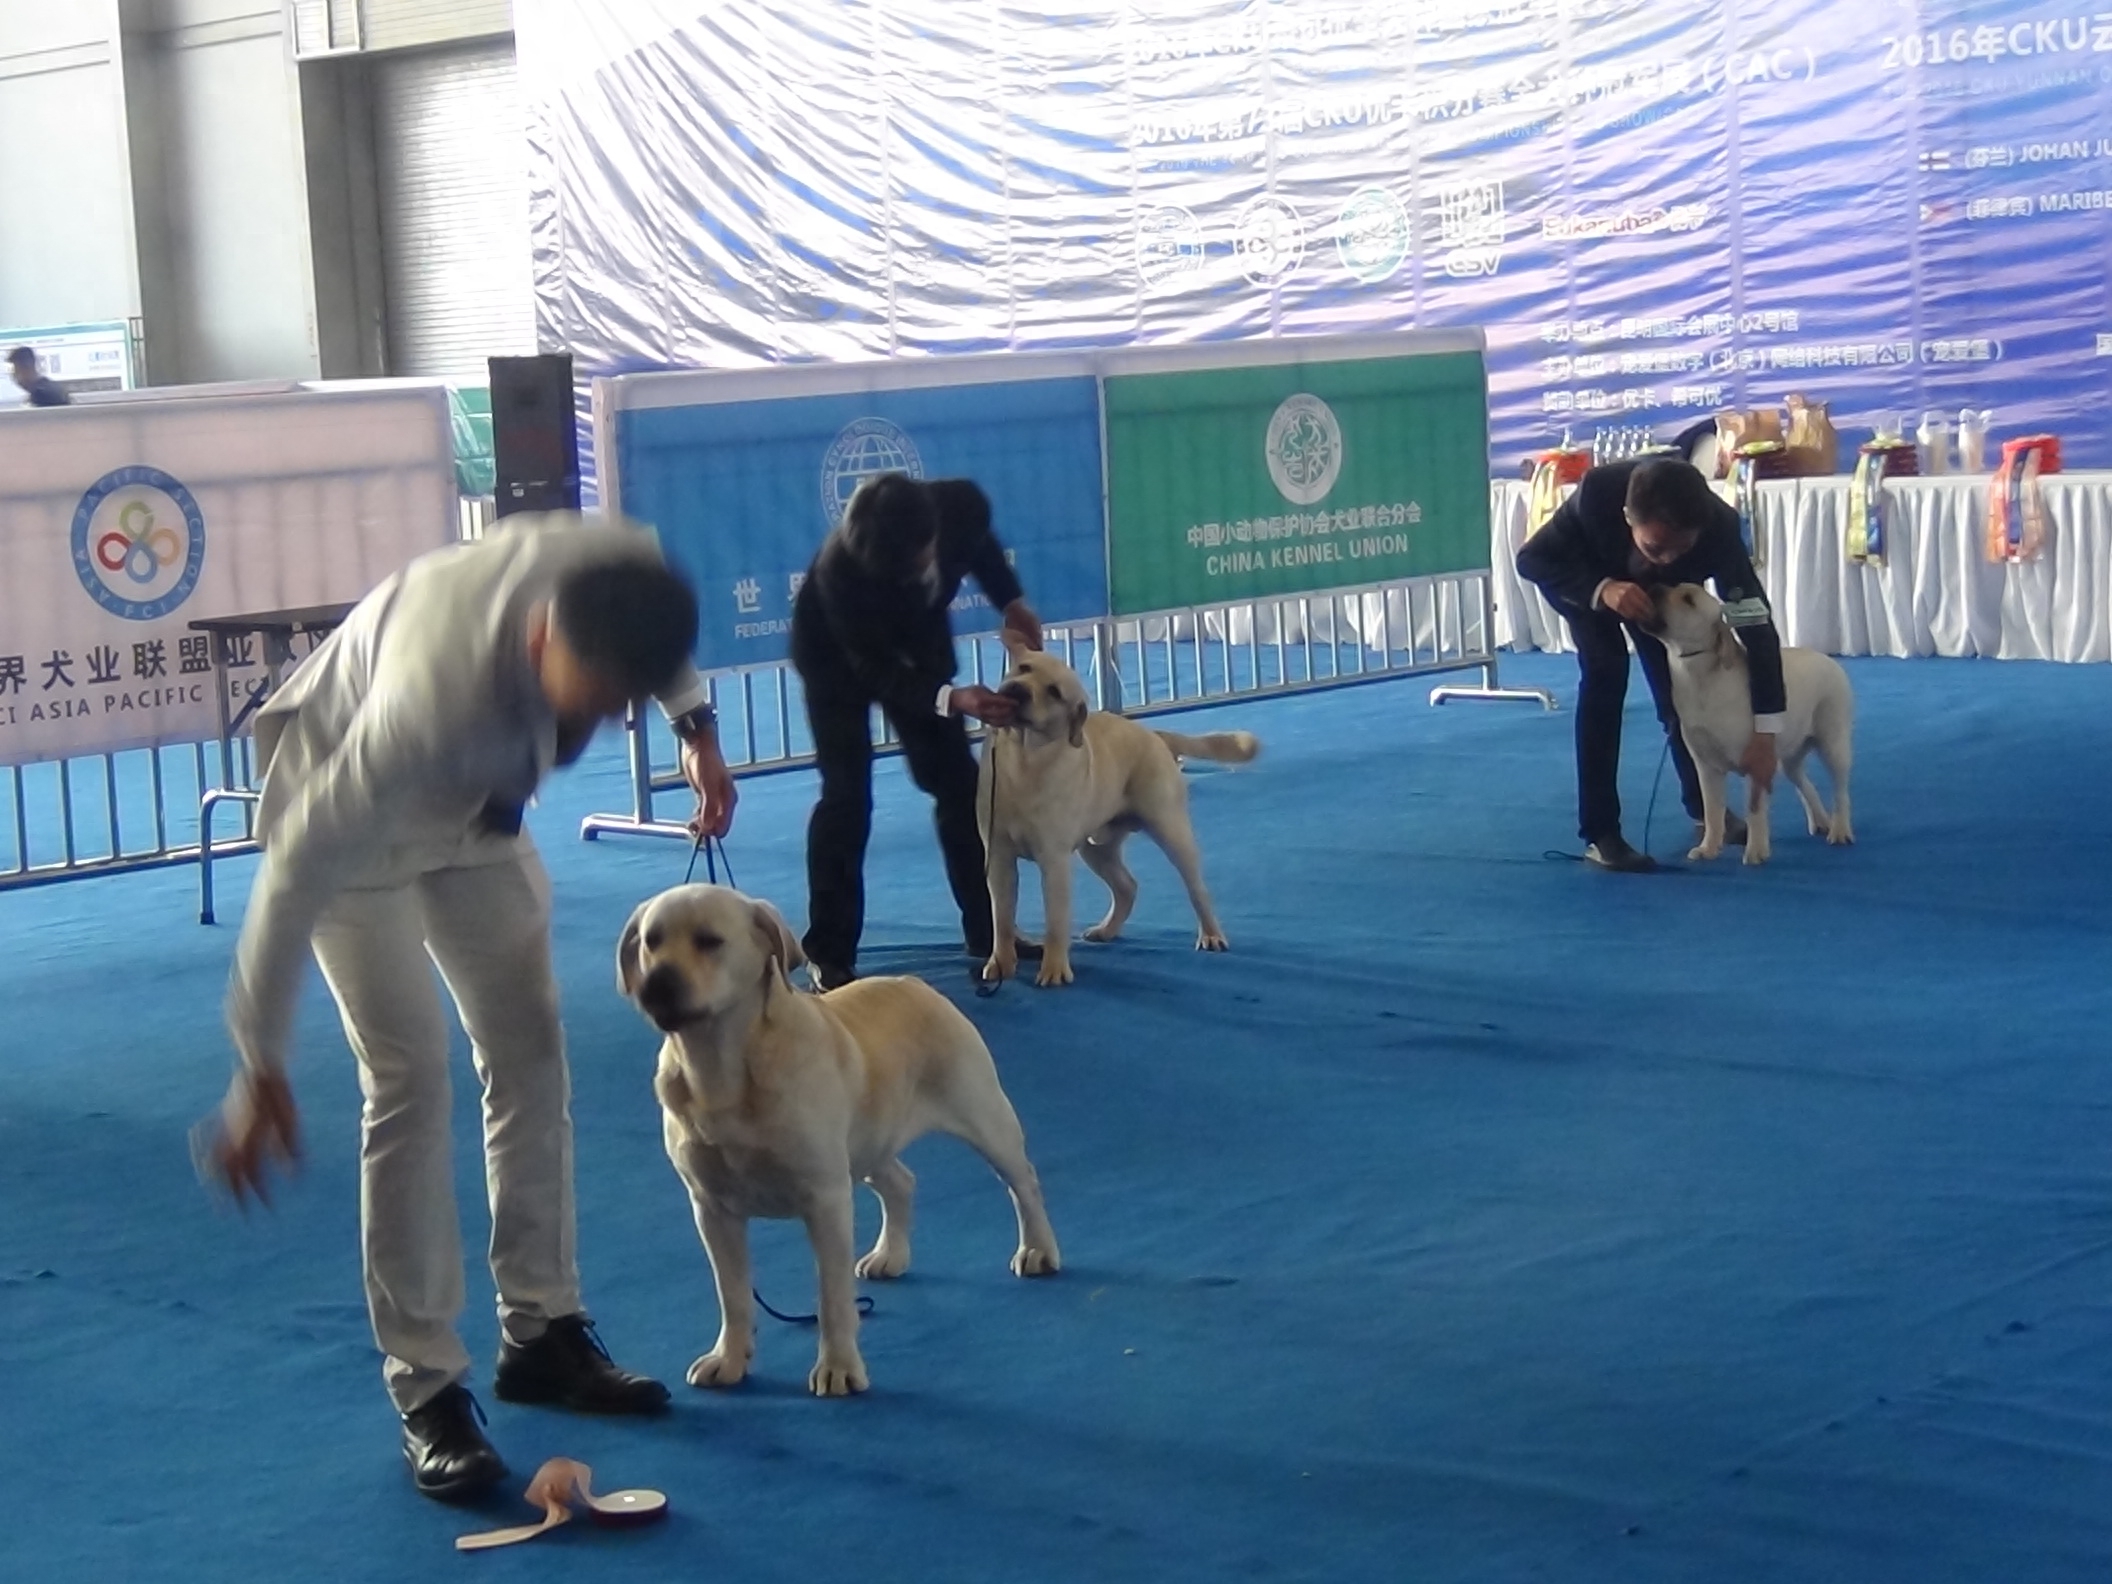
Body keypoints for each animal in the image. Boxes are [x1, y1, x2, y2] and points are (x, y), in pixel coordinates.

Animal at [616, 882, 1064, 1402]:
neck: (721, 1068)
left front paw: (838, 1368)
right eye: (652, 942)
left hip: (982, 1113)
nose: (656, 985)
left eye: (710, 941)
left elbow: (831, 1298)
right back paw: (890, 1255)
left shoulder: (825, 1197)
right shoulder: (711, 1206)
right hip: (868, 1140)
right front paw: (728, 1359)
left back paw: (1038, 1250)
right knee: (901, 1182)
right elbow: (733, 1294)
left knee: (1022, 1181)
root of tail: (916, 984)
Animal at [984, 637, 1258, 992]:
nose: (1018, 690)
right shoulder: (999, 857)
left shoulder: (1054, 860)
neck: (1024, 762)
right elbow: (1001, 918)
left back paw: (1211, 935)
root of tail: (1154, 734)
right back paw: (1105, 930)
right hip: (1096, 848)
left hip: (1170, 829)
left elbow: (1055, 921)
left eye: (1054, 692)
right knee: (1127, 886)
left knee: (1197, 888)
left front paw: (1054, 969)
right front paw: (1000, 964)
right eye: (1023, 668)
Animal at [1647, 578, 1850, 861]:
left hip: (1833, 740)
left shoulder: (1756, 761)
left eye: (1688, 599)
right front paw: (1708, 848)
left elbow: (1753, 809)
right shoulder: (1705, 765)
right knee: (1802, 779)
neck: (1699, 678)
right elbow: (1712, 811)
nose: (1653, 587)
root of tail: (1827, 659)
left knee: (1840, 789)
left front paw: (1755, 851)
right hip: (1789, 752)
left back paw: (1840, 829)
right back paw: (1820, 820)